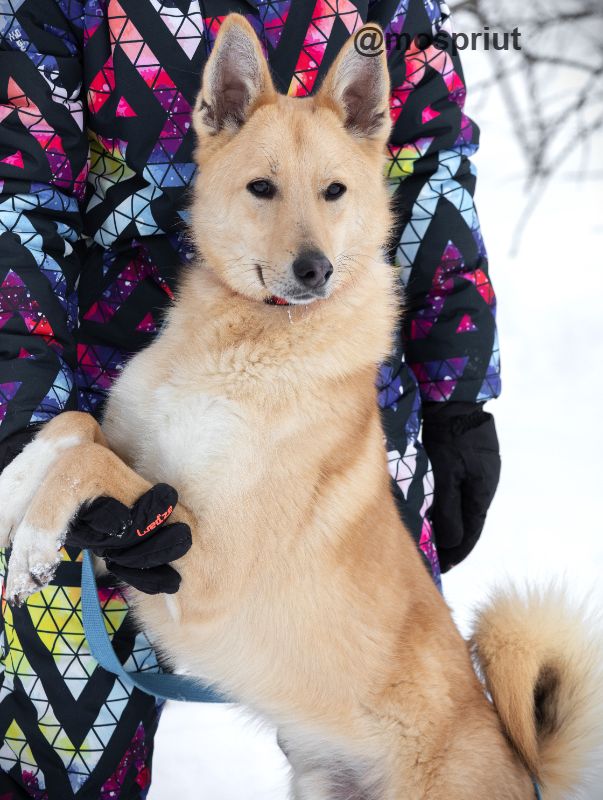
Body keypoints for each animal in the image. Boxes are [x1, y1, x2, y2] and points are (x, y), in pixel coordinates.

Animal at [1, 14, 603, 800]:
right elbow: (75, 429)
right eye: (262, 187)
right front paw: (14, 485)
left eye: (334, 190)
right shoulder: (138, 469)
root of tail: (516, 765)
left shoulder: (204, 562)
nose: (314, 270)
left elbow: (91, 466)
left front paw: (37, 541)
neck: (250, 339)